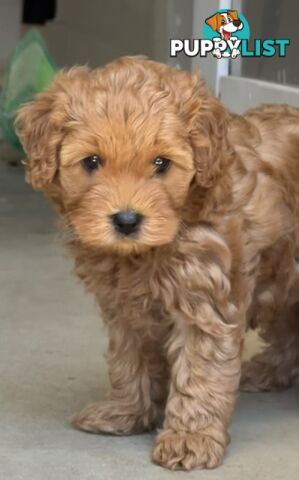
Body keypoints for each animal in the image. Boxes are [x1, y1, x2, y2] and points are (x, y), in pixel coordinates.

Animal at [17, 57, 299, 472]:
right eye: (92, 162)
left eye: (162, 164)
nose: (127, 220)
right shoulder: (124, 307)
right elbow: (128, 358)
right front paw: (126, 411)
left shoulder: (205, 299)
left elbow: (199, 372)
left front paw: (190, 438)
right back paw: (267, 370)